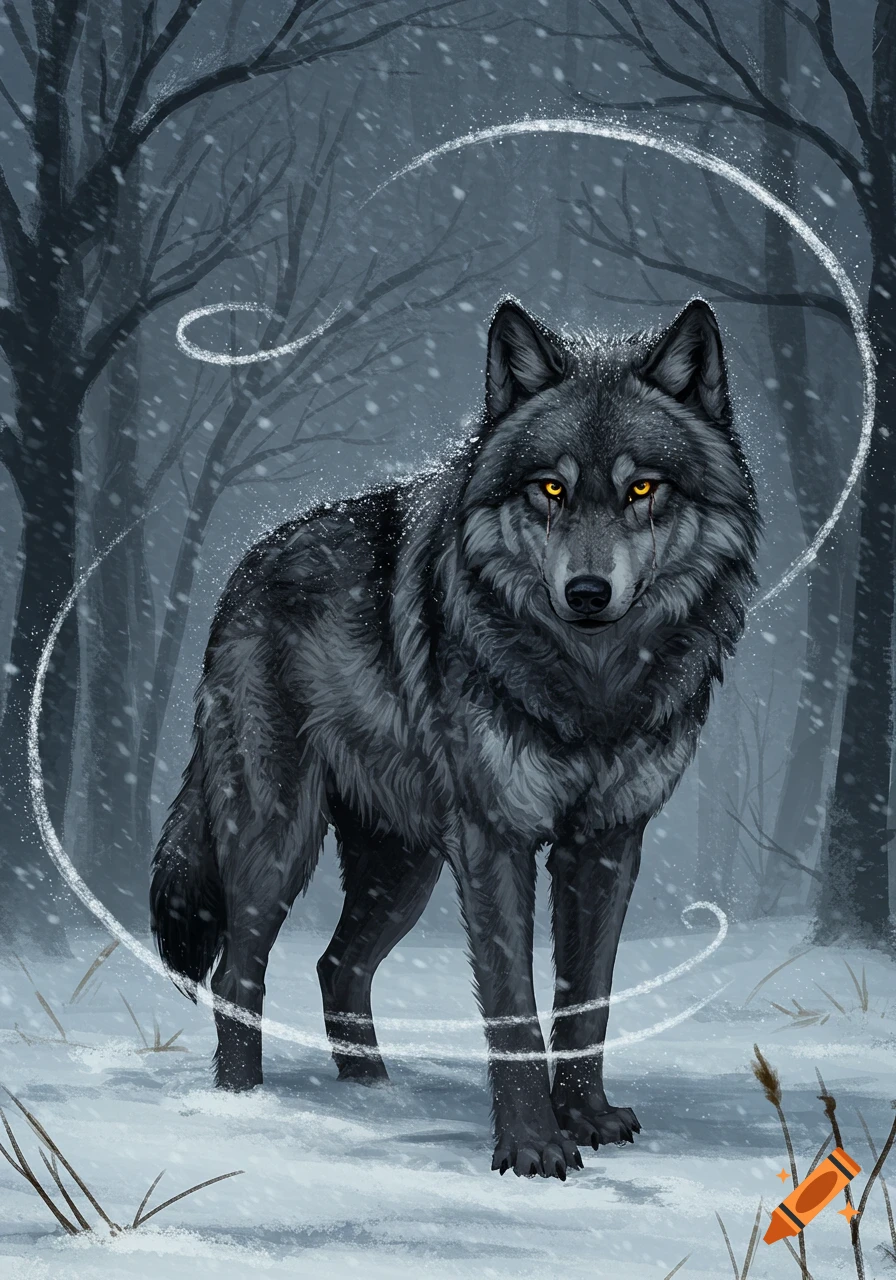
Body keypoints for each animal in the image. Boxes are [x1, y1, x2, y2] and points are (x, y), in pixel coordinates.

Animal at [150, 296, 759, 1180]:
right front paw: (533, 1147)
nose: (586, 591)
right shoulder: (494, 838)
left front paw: (587, 1118)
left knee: (338, 966)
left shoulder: (608, 843)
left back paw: (373, 1096)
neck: (592, 688)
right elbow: (514, 1009)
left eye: (643, 487)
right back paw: (243, 1109)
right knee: (239, 973)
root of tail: (243, 570)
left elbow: (588, 1000)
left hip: (404, 867)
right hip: (280, 840)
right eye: (550, 488)